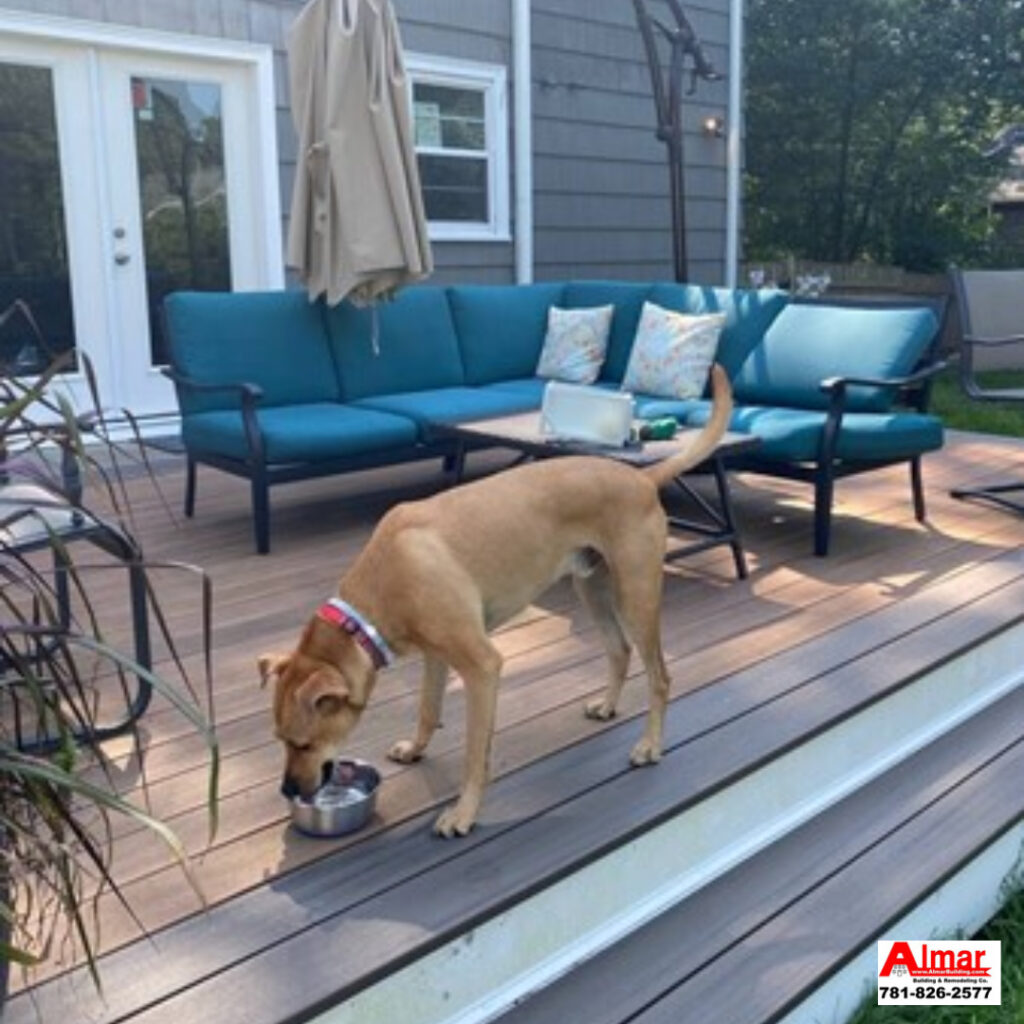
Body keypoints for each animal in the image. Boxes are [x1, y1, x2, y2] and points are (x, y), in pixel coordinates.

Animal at [260, 364, 733, 835]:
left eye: (304, 743)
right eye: (279, 740)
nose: (286, 790)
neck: (374, 598)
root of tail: (642, 477)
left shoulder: (482, 667)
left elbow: (475, 754)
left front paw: (464, 813)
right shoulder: (437, 655)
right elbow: (427, 709)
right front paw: (416, 748)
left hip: (636, 596)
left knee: (660, 676)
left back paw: (650, 745)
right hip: (592, 587)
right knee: (618, 649)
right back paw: (607, 706)